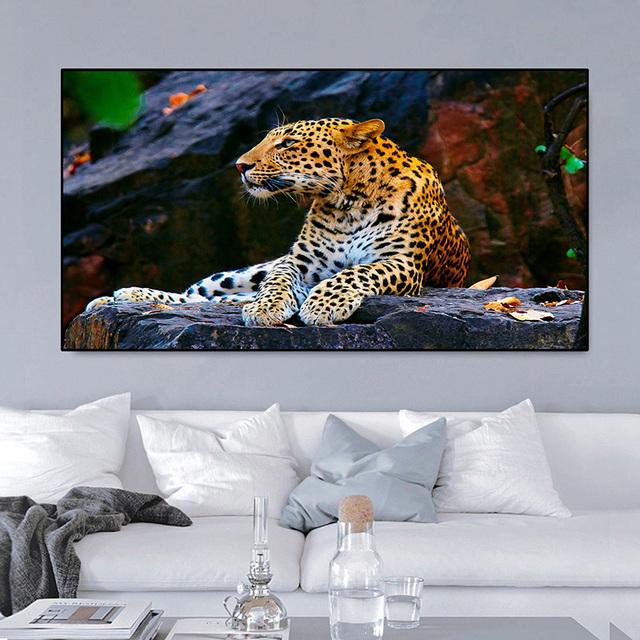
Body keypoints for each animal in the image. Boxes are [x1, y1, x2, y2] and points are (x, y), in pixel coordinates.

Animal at [86, 117, 471, 327]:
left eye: (287, 143)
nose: (240, 166)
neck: (349, 201)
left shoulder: (402, 263)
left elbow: (356, 272)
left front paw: (323, 305)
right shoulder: (298, 262)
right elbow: (278, 280)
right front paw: (267, 307)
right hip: (237, 274)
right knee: (199, 293)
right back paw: (125, 296)